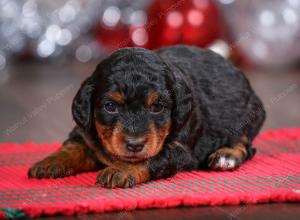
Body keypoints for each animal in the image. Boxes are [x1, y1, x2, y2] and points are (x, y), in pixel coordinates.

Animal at [28, 45, 264, 188]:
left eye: (157, 107)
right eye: (110, 106)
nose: (134, 144)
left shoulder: (179, 147)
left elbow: (151, 157)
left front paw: (122, 170)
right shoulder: (84, 131)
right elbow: (73, 146)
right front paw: (50, 162)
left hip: (248, 116)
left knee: (246, 144)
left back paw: (226, 156)